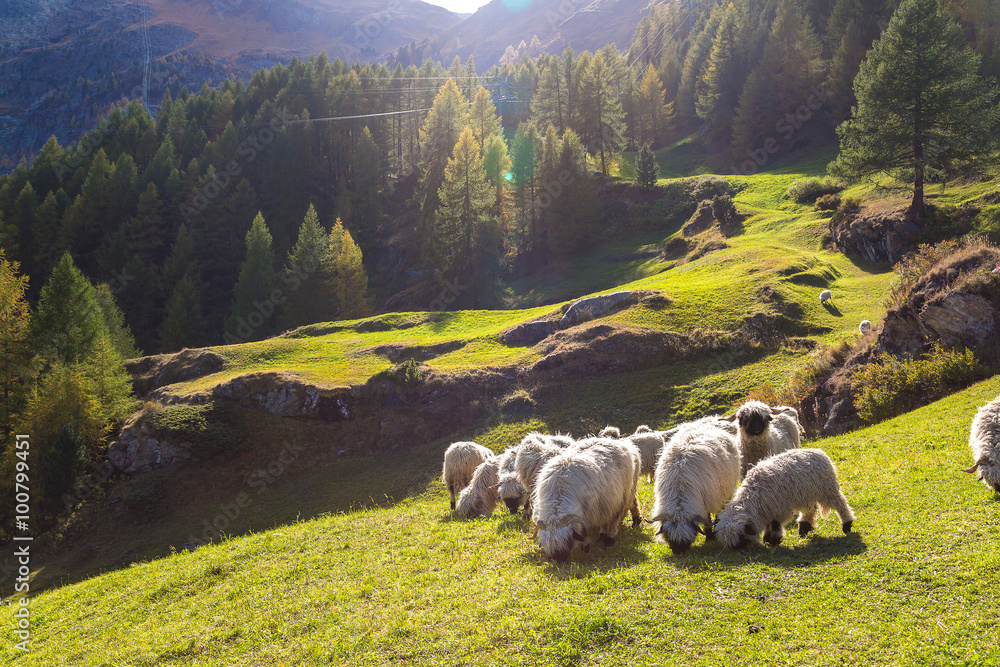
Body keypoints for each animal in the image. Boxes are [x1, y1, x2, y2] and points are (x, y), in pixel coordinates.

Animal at [650, 420, 742, 554]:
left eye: (687, 540)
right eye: (669, 537)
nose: (678, 553)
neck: (679, 488)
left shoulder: (707, 501)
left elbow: (707, 520)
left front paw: (709, 537)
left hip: (724, 493)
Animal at [715, 448, 855, 549]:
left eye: (740, 537)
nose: (737, 550)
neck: (753, 496)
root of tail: (820, 452)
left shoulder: (778, 509)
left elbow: (776, 524)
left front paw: (775, 540)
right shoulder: (768, 509)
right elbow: (769, 524)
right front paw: (767, 538)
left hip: (827, 490)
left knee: (840, 504)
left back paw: (847, 524)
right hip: (806, 494)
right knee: (809, 511)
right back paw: (804, 528)